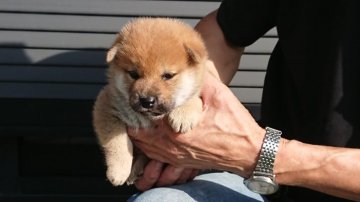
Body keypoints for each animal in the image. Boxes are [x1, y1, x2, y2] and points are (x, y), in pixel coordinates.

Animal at [93, 18, 208, 185]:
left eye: (168, 75)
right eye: (134, 74)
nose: (146, 101)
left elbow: (194, 99)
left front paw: (183, 115)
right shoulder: (107, 107)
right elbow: (117, 142)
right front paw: (118, 171)